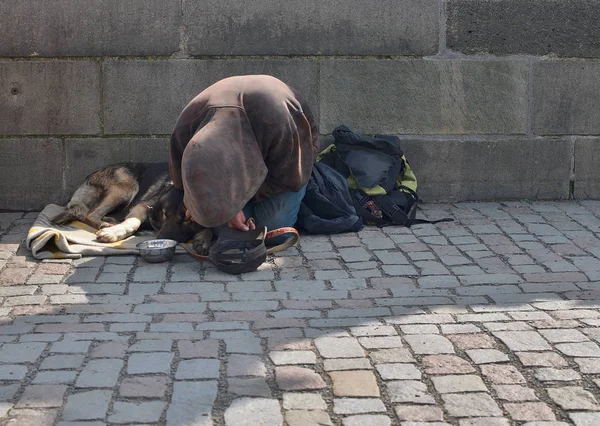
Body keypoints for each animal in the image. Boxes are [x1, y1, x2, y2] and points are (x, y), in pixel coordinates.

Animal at [51, 161, 213, 255]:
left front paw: (204, 238)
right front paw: (115, 233)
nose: (160, 238)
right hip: (127, 186)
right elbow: (132, 222)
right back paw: (106, 225)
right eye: (165, 215)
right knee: (90, 214)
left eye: (188, 219)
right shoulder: (142, 206)